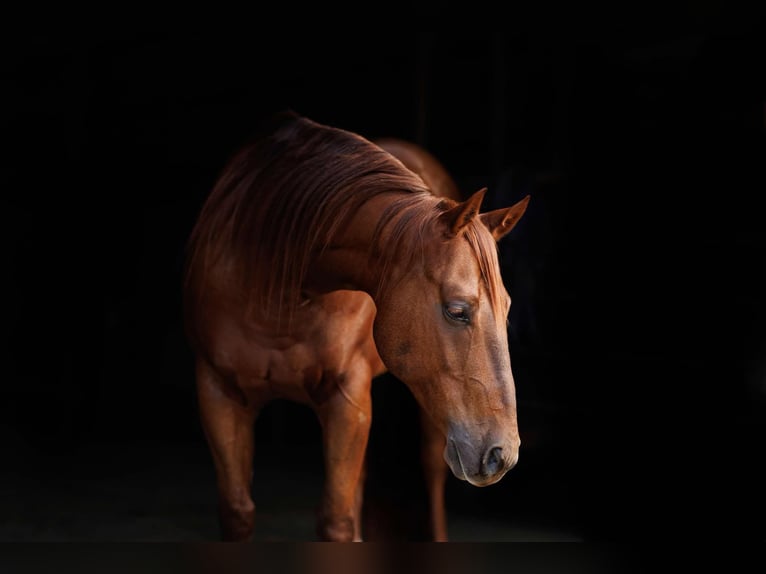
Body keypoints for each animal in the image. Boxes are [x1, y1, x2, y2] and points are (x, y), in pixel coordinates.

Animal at [183, 111, 530, 542]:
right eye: (456, 310)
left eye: (507, 308)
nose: (504, 454)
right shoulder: (218, 392)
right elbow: (238, 511)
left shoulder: (346, 400)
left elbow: (336, 520)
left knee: (431, 472)